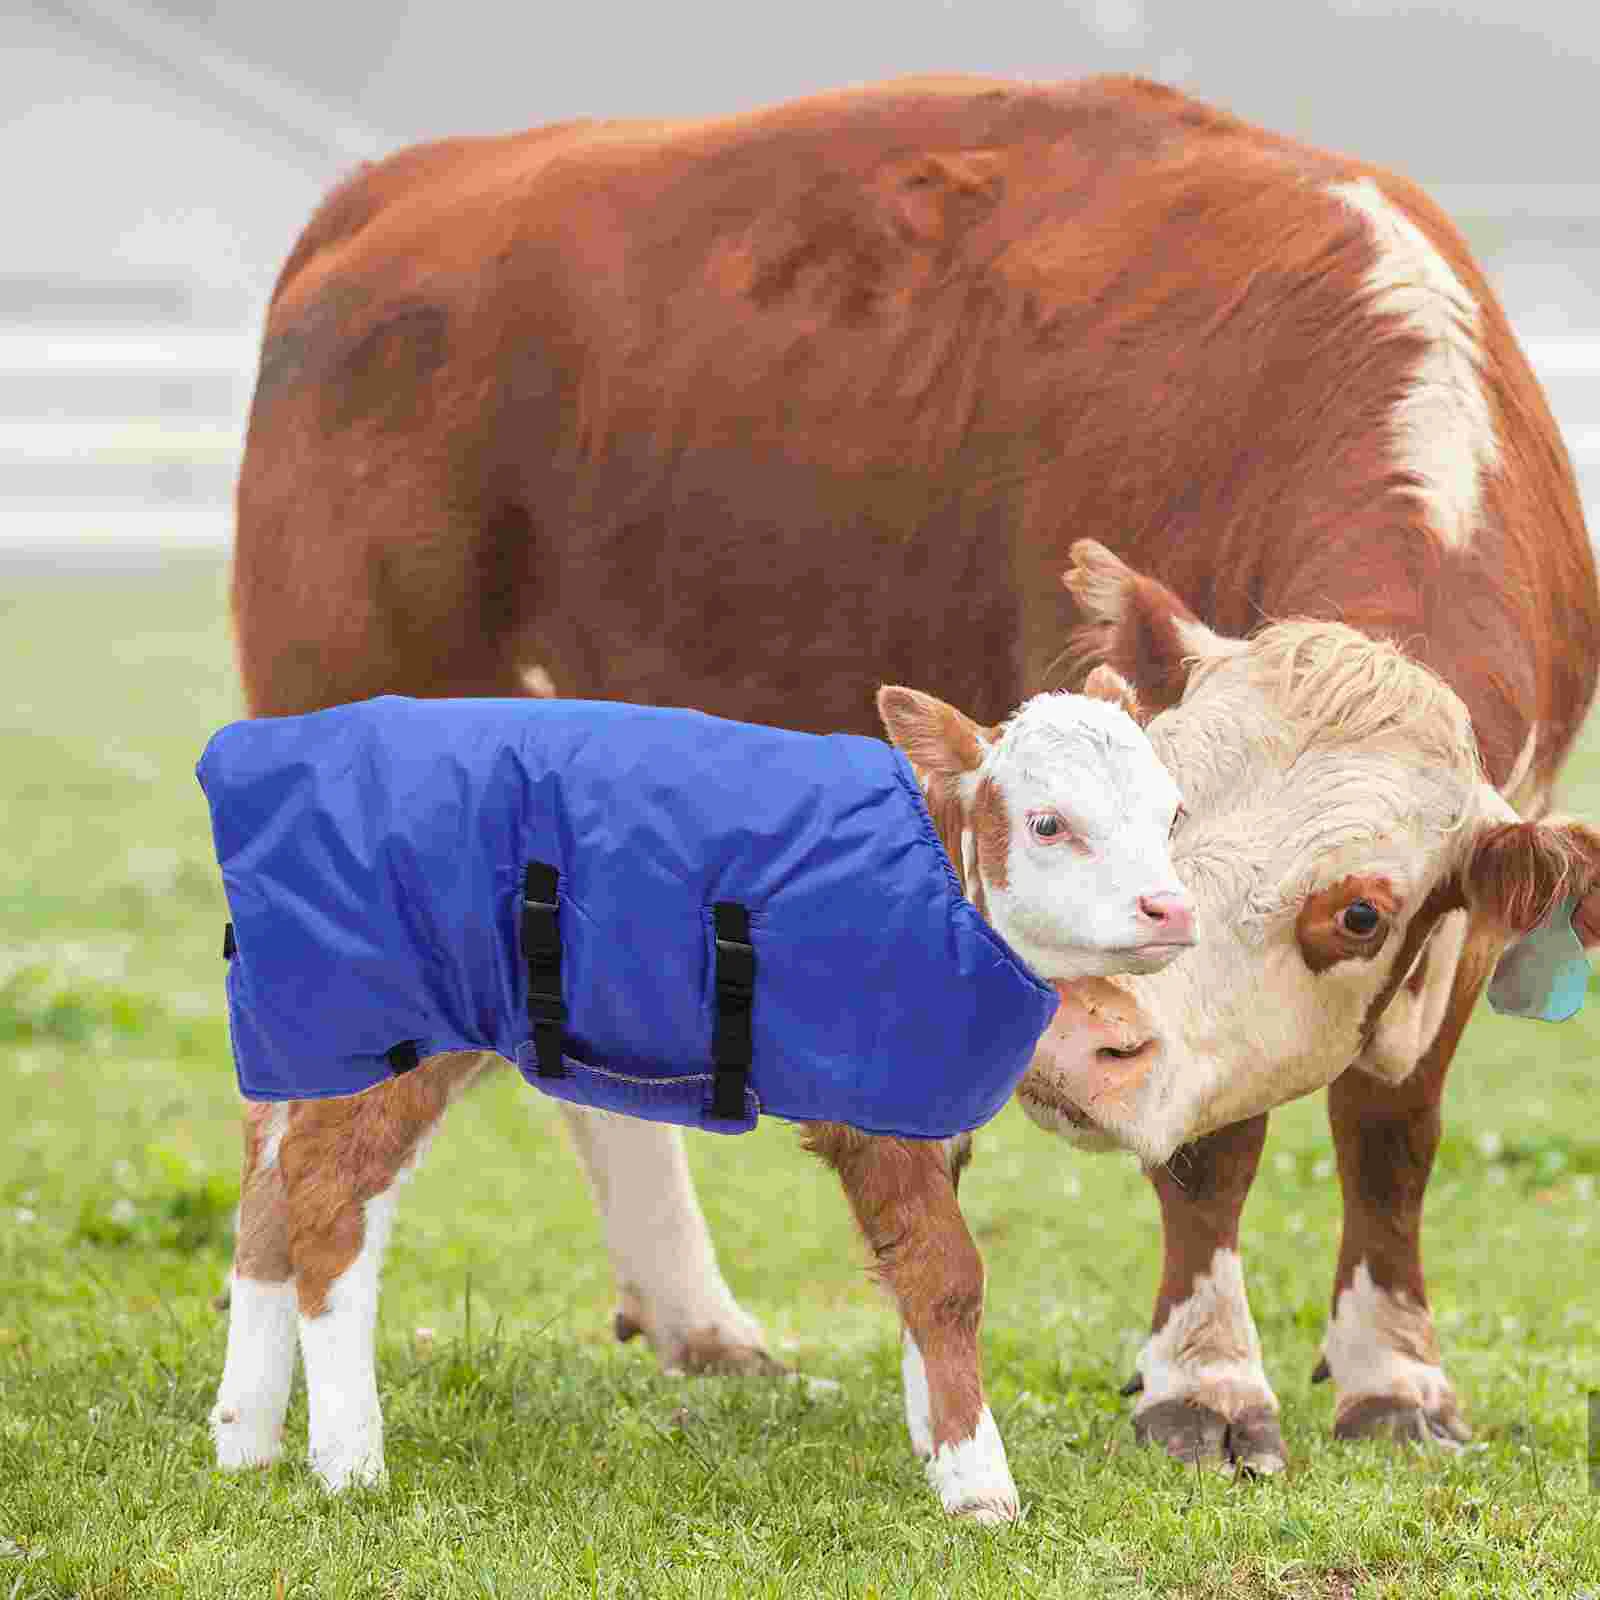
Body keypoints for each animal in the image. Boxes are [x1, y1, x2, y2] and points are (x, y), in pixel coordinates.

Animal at [223, 72, 1598, 1512]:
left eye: (1358, 913)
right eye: (1130, 821)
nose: (1084, 1050)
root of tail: (403, 185)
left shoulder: (1476, 903)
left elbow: (1393, 1127)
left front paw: (1398, 1378)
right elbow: (1208, 1148)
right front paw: (1206, 1383)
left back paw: (694, 1323)